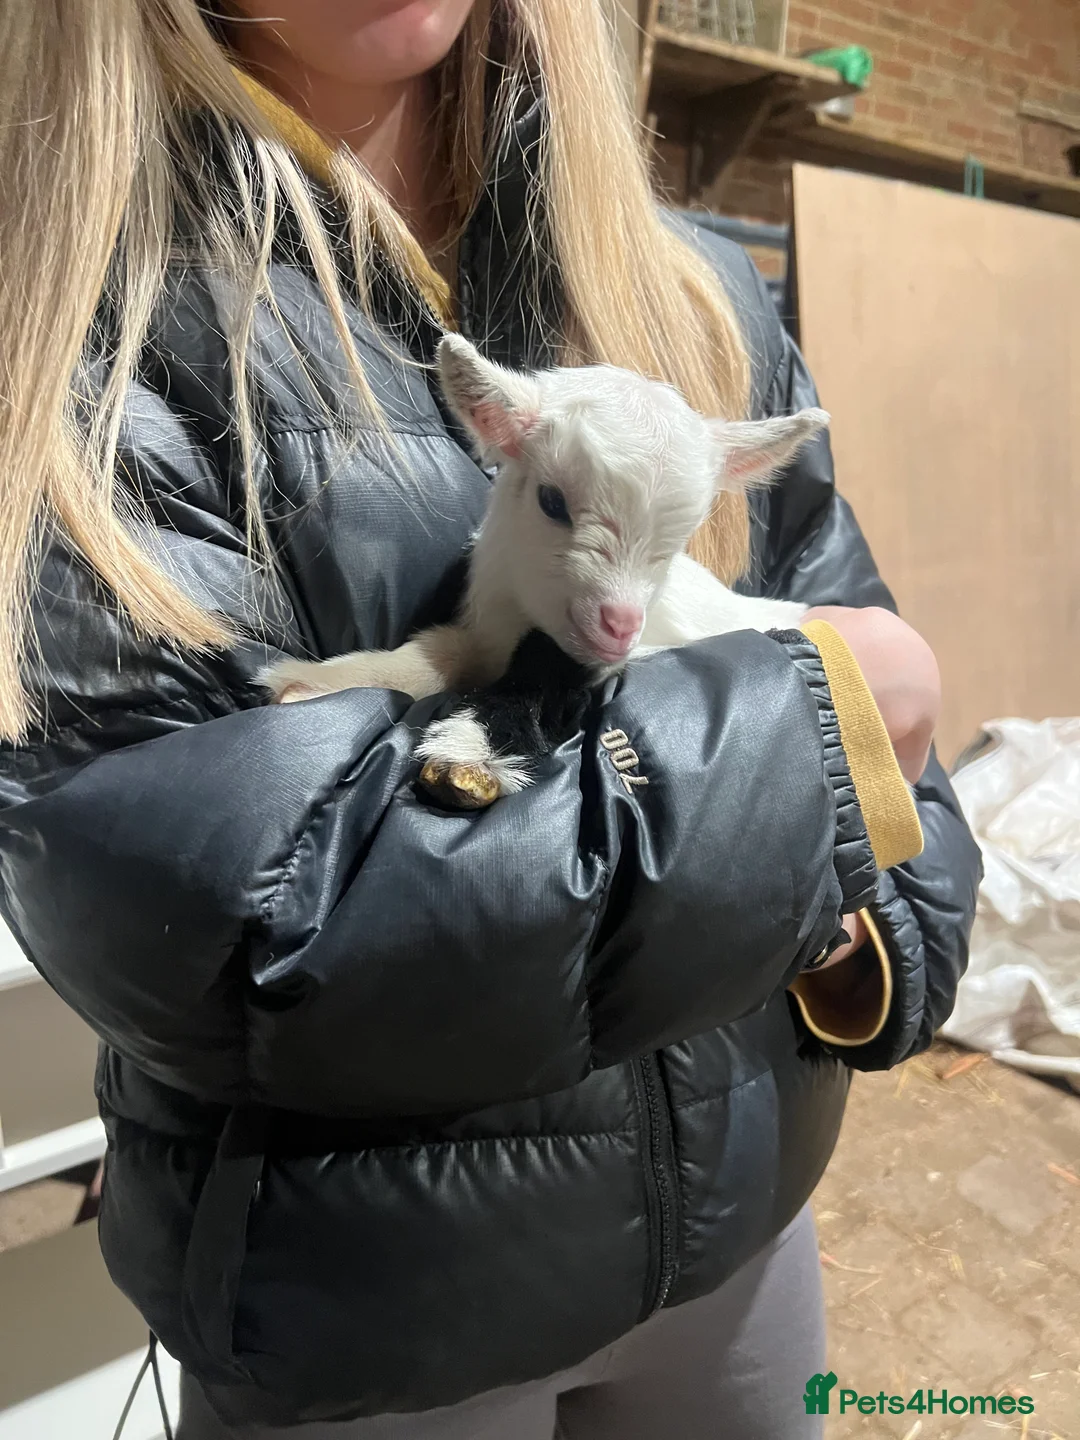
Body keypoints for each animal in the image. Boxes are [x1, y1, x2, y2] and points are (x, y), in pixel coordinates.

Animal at [263, 335, 828, 807]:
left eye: (679, 538)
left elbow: (550, 671)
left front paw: (471, 753)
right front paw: (316, 684)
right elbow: (437, 655)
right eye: (551, 501)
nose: (619, 624)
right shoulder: (491, 627)